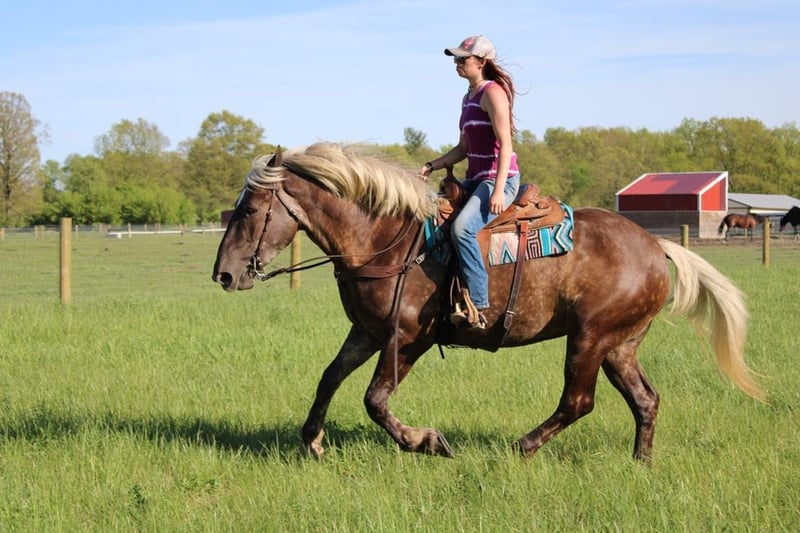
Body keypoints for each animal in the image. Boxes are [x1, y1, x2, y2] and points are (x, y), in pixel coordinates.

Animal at [212, 143, 763, 464]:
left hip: (590, 339)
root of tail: (656, 246)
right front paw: (312, 440)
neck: (384, 239)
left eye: (251, 210)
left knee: (577, 401)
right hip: (619, 346)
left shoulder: (407, 338)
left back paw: (523, 446)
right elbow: (329, 377)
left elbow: (375, 400)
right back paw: (640, 463)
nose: (224, 274)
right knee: (645, 400)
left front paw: (426, 441)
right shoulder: (367, 332)